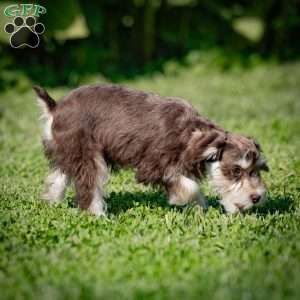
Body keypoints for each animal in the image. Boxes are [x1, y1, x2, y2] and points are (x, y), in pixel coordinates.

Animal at [32, 84, 268, 216]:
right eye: (236, 170)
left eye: (257, 170)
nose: (257, 197)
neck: (191, 132)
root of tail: (55, 106)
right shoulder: (156, 165)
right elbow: (191, 187)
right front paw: (182, 200)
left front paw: (200, 210)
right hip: (88, 156)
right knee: (89, 187)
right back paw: (97, 215)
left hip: (68, 151)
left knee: (58, 177)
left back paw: (52, 202)